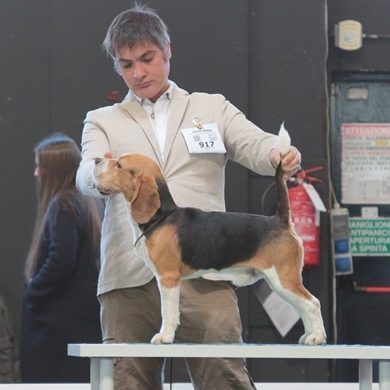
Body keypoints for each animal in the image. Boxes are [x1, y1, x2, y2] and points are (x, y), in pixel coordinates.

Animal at [93, 142, 326, 346]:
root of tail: (280, 220)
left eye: (119, 165)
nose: (96, 160)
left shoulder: (168, 278)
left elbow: (169, 312)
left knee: (312, 303)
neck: (161, 215)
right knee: (303, 307)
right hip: (280, 281)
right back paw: (309, 336)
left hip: (283, 279)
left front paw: (165, 336)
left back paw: (317, 337)